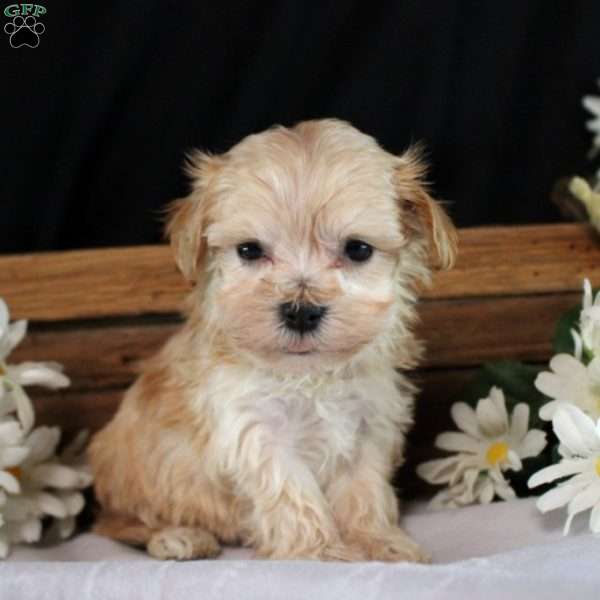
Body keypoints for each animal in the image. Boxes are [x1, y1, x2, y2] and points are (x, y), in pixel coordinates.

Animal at [88, 118, 454, 564]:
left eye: (358, 249)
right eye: (249, 250)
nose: (300, 311)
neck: (309, 375)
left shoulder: (369, 424)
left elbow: (363, 490)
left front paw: (377, 541)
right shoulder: (256, 430)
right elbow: (293, 494)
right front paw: (322, 551)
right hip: (132, 476)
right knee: (117, 522)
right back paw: (177, 537)